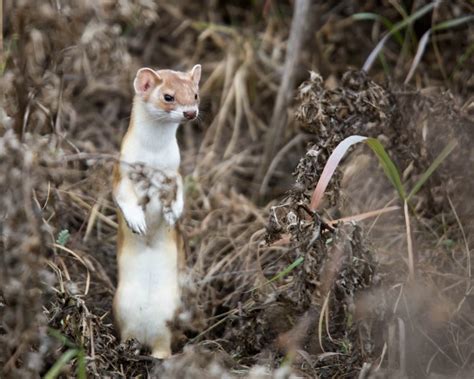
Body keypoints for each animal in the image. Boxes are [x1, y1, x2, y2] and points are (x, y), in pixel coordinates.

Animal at [113, 64, 202, 360]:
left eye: (195, 94)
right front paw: (137, 221)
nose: (190, 112)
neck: (153, 159)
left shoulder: (174, 172)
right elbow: (122, 197)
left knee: (163, 345)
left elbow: (181, 191)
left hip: (170, 310)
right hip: (120, 304)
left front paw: (173, 214)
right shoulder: (121, 172)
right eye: (168, 96)